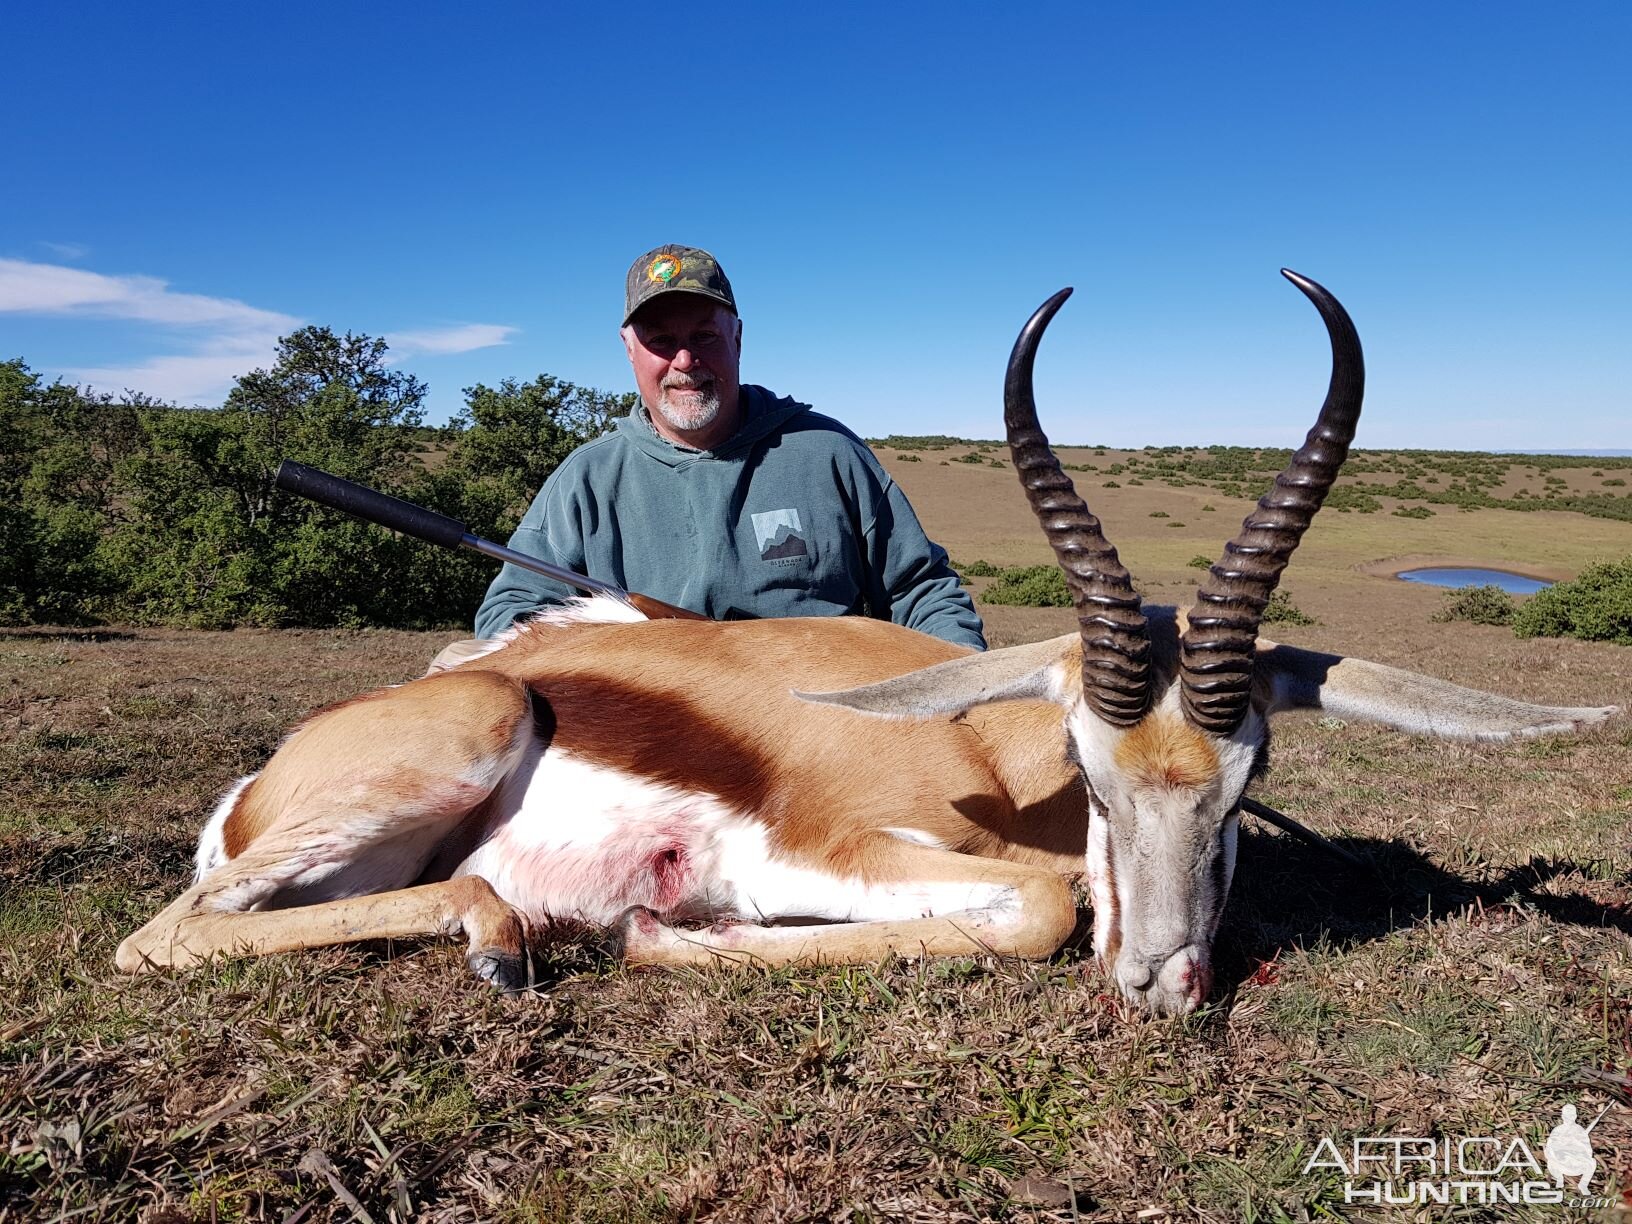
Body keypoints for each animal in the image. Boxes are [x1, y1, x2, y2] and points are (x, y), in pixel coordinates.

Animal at [118, 275, 1618, 1018]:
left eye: (1249, 786)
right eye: (1093, 767)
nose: (1163, 989)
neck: (985, 756)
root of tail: (253, 787)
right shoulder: (820, 851)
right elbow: (1040, 908)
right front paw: (665, 933)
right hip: (470, 736)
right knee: (157, 938)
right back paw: (504, 939)